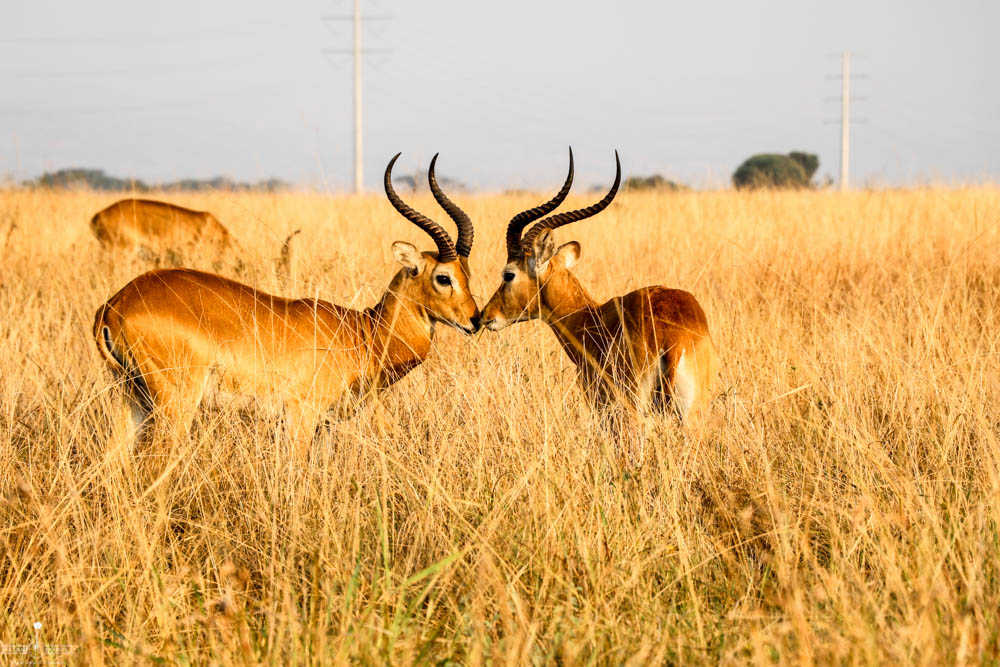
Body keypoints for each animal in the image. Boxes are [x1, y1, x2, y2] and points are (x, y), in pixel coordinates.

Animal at [93, 156, 480, 456]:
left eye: (468, 273)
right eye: (443, 277)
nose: (475, 320)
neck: (365, 333)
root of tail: (116, 304)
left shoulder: (325, 425)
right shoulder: (300, 416)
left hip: (131, 398)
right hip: (175, 404)